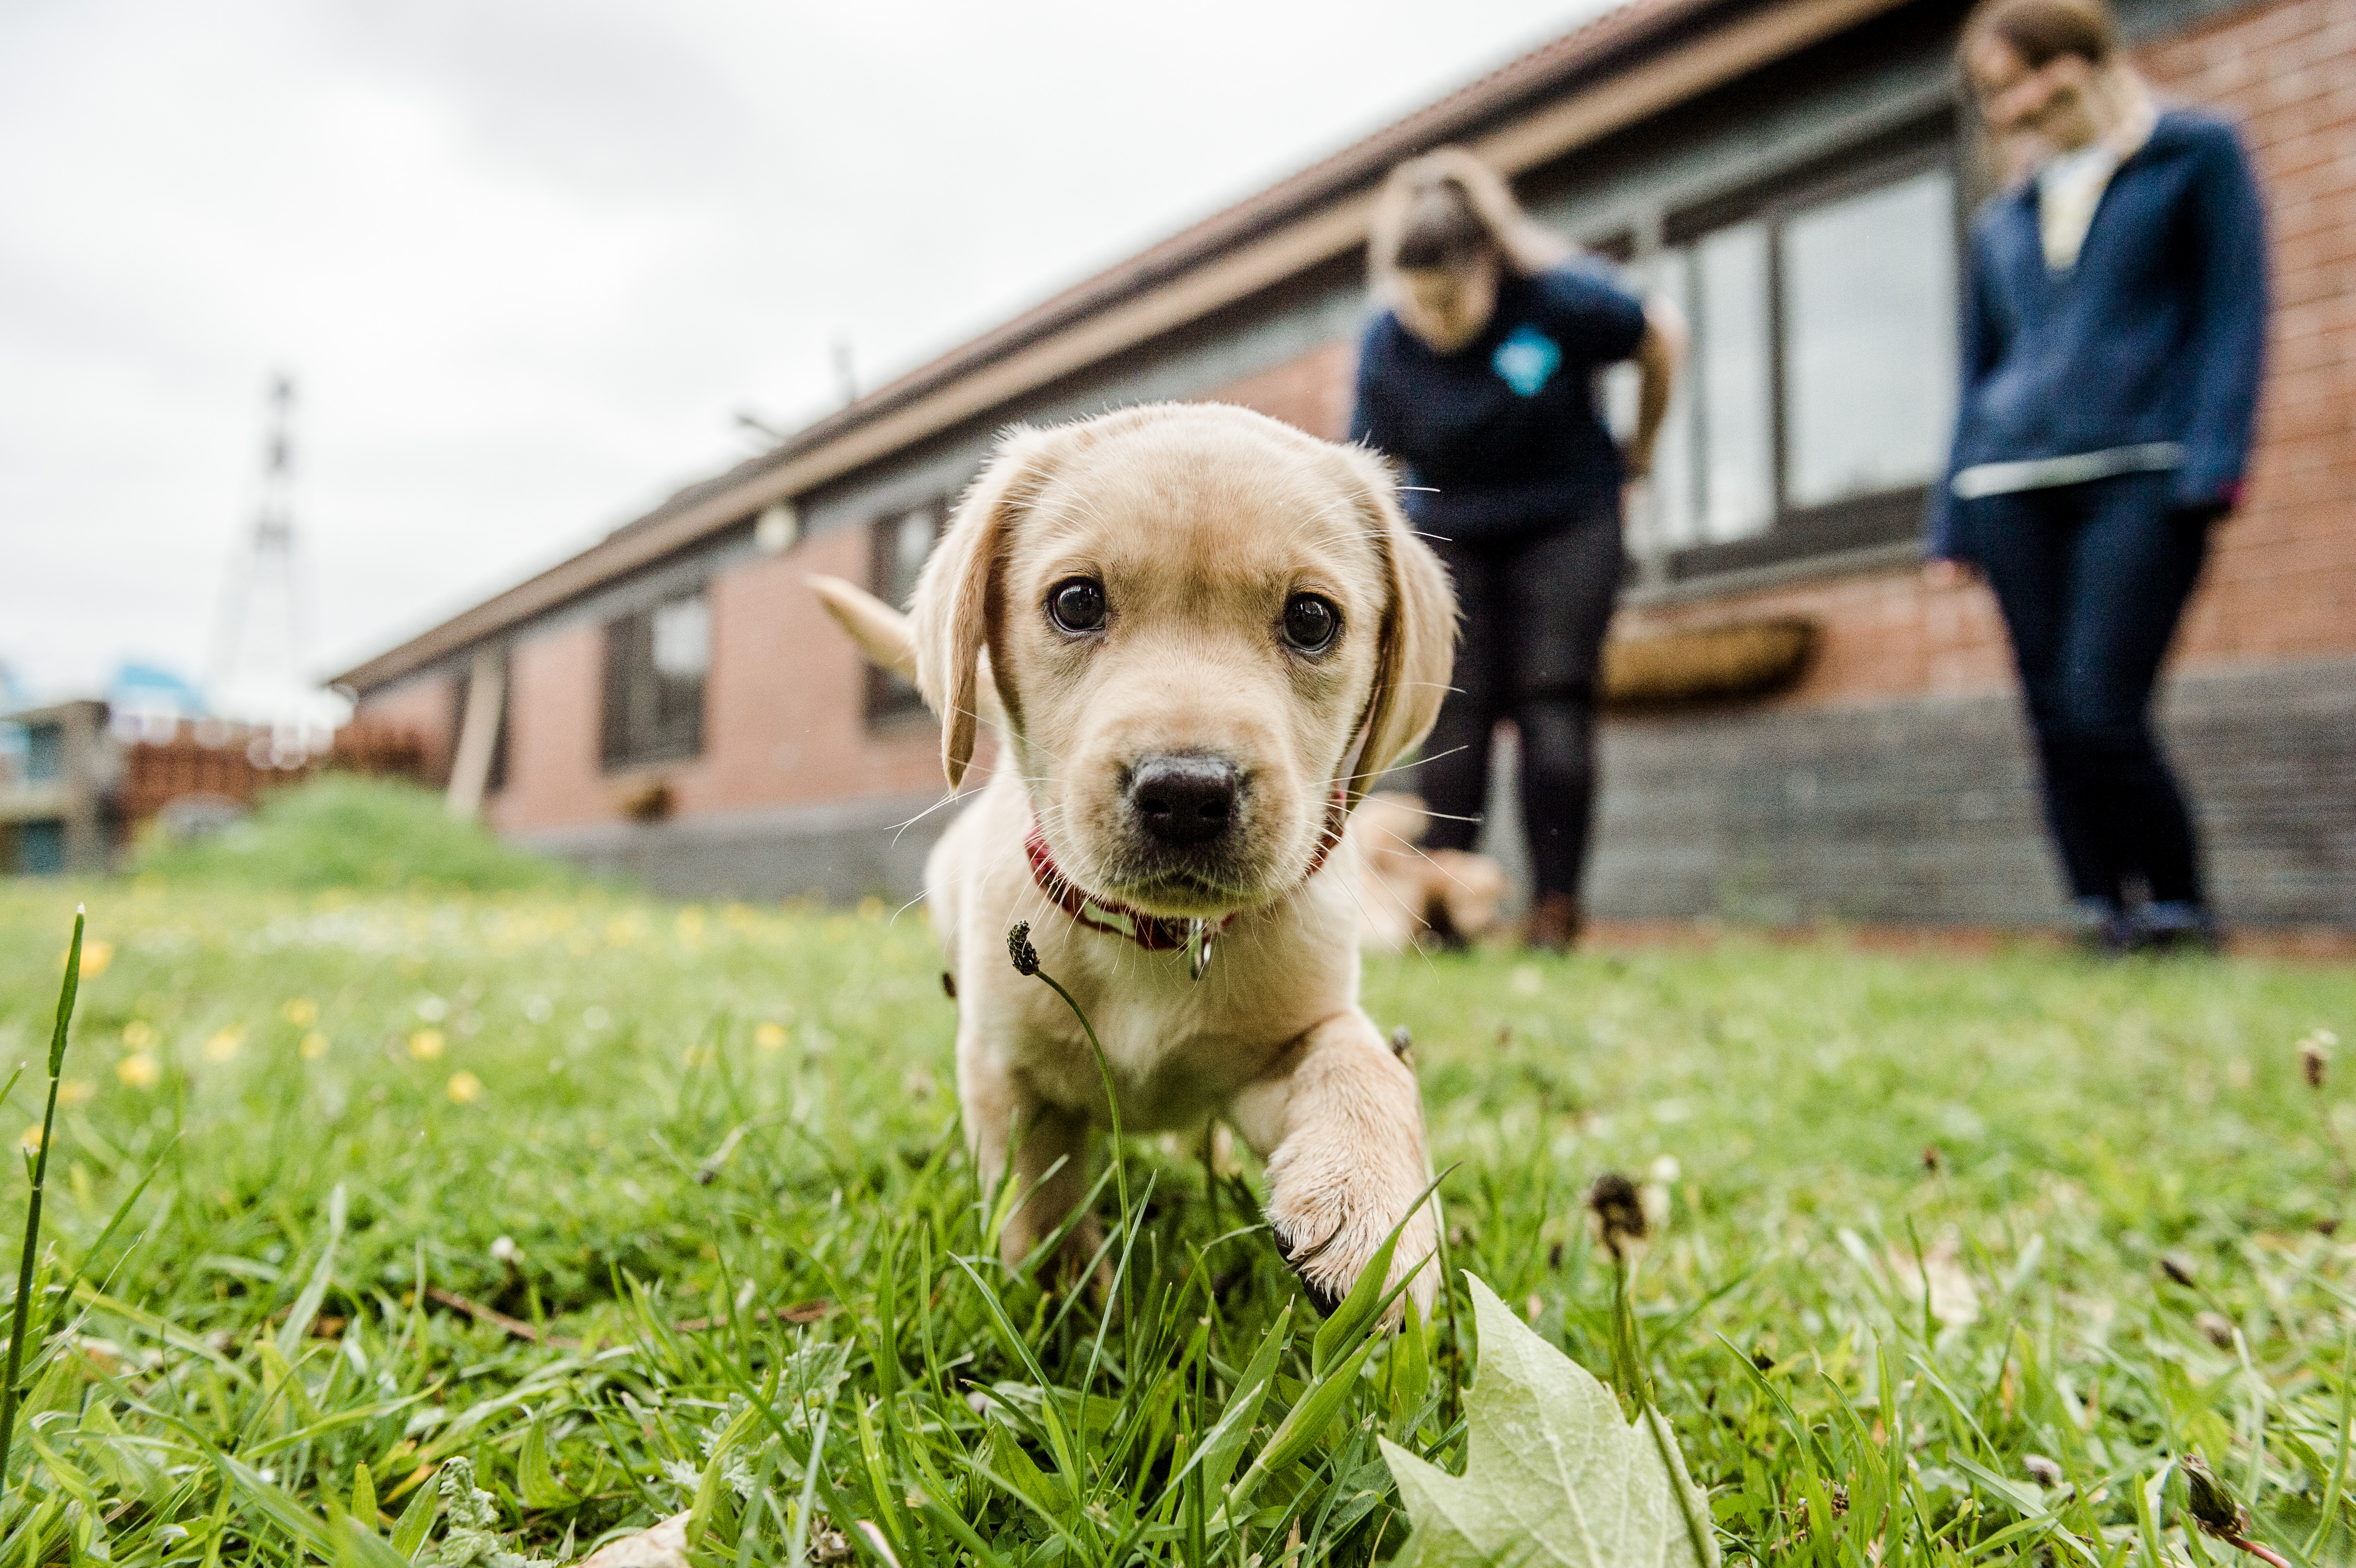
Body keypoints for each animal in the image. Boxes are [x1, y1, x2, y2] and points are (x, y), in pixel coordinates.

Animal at [819, 400, 1461, 1309]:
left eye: (1311, 619)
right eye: (1077, 602)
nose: (1187, 794)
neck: (1155, 940)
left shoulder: (1289, 1038)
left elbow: (1365, 1063)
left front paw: (1371, 1209)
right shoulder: (1005, 1069)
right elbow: (1036, 1197)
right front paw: (1067, 1302)